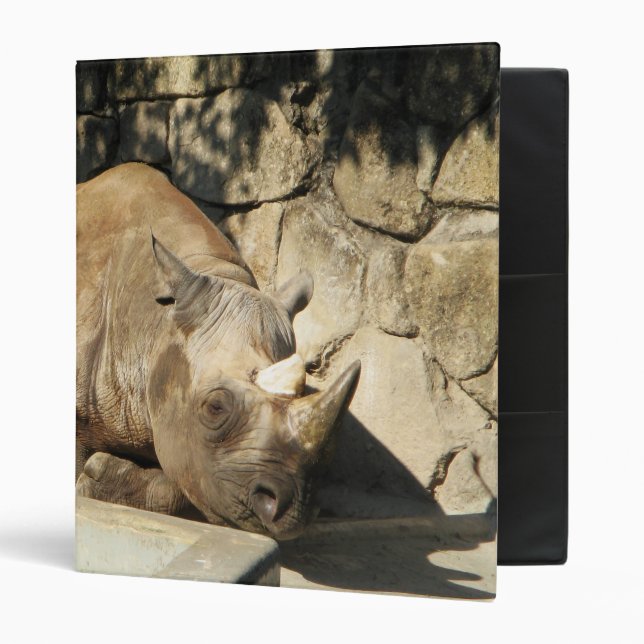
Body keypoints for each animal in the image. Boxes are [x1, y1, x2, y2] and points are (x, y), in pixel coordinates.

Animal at [76, 162, 360, 540]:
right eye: (215, 408)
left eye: (306, 391)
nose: (292, 509)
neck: (154, 322)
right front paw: (88, 481)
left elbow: (184, 484)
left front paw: (97, 479)